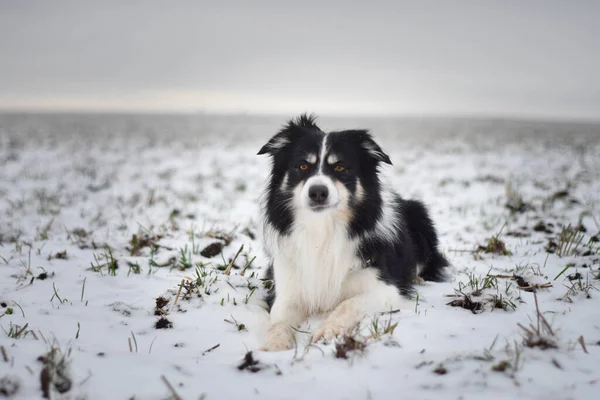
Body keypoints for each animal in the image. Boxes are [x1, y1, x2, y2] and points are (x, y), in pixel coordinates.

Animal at [255, 113, 448, 350]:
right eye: (302, 166)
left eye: (340, 167)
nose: (317, 192)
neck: (323, 229)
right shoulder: (287, 289)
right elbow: (279, 320)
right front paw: (274, 346)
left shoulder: (385, 289)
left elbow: (348, 304)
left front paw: (328, 331)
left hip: (420, 217)